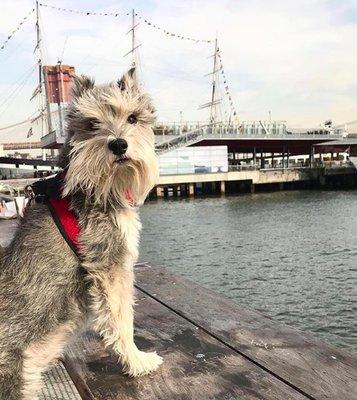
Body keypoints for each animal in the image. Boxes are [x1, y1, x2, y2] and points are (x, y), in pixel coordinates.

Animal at [0, 69, 161, 400]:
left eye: (133, 118)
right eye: (92, 124)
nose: (119, 145)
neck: (98, 187)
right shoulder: (111, 266)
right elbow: (121, 320)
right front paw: (137, 361)